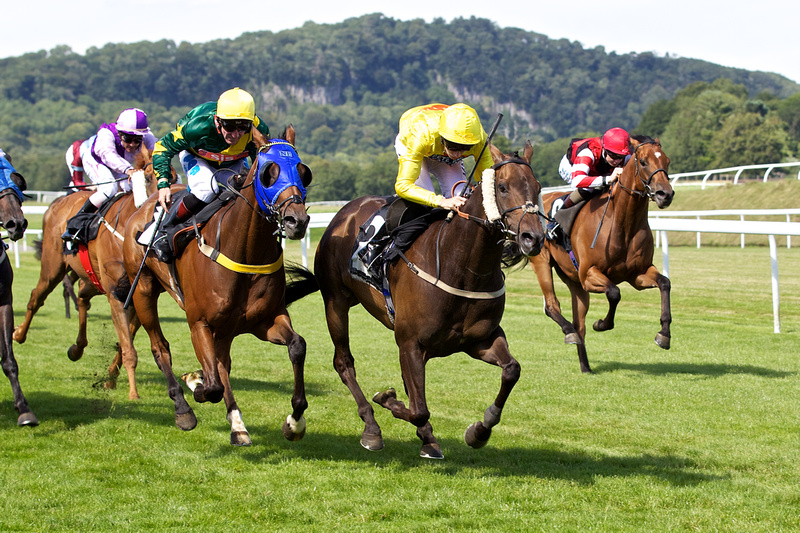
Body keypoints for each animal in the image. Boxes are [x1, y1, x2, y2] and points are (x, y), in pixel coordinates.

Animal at [14, 148, 161, 396]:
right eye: (149, 177)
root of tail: (58, 202)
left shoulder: (140, 295)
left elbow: (125, 341)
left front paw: (111, 378)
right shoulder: (115, 294)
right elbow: (128, 346)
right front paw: (133, 393)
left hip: (90, 278)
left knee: (83, 298)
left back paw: (77, 347)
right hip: (53, 267)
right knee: (37, 296)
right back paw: (19, 333)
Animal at [122, 128, 312, 444]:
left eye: (303, 172)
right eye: (269, 173)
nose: (297, 220)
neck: (245, 250)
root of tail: (144, 206)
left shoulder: (265, 320)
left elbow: (297, 345)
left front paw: (294, 423)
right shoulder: (199, 322)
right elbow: (210, 386)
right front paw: (195, 381)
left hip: (226, 328)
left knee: (222, 364)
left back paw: (238, 425)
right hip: (143, 290)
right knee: (161, 348)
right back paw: (183, 409)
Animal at [310, 141, 544, 458]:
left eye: (538, 187)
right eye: (503, 187)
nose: (534, 238)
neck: (462, 267)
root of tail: (345, 211)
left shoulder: (479, 339)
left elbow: (511, 370)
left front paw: (479, 431)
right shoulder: (411, 342)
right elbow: (418, 409)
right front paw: (387, 399)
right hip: (335, 301)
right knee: (343, 362)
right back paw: (372, 428)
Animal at [532, 135, 676, 372]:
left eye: (667, 161)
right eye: (643, 162)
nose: (666, 194)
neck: (622, 223)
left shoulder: (638, 274)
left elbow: (665, 283)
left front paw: (664, 334)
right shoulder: (589, 273)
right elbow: (614, 292)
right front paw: (602, 324)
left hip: (574, 281)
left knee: (579, 325)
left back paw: (585, 366)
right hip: (542, 261)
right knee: (552, 306)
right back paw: (569, 333)